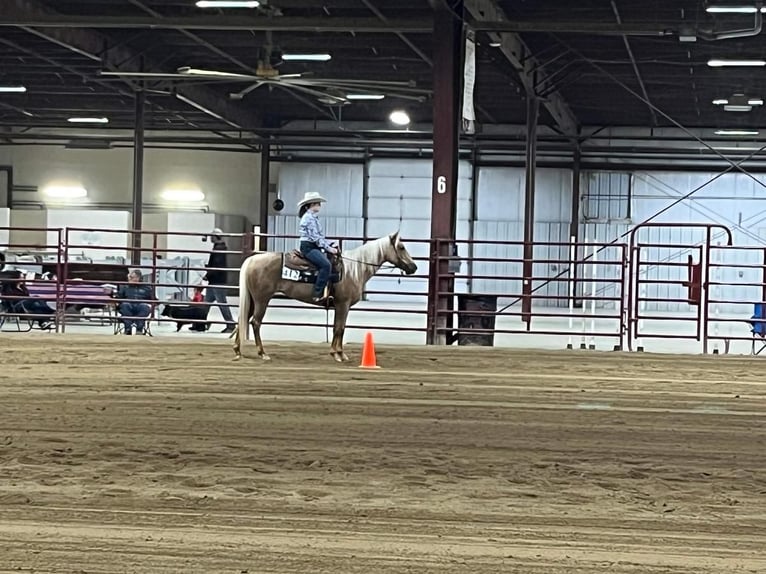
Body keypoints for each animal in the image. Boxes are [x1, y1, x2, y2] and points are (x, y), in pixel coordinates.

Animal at [232, 232, 416, 362]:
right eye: (401, 247)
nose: (413, 267)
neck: (353, 269)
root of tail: (252, 260)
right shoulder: (343, 304)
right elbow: (340, 328)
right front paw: (339, 355)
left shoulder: (340, 306)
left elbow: (338, 327)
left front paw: (336, 353)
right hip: (262, 300)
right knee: (255, 323)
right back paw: (262, 353)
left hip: (252, 300)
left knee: (242, 319)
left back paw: (237, 351)